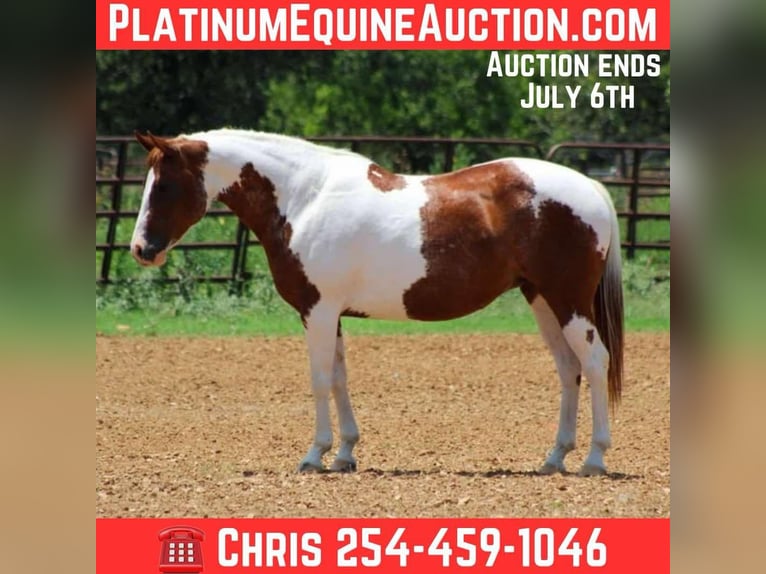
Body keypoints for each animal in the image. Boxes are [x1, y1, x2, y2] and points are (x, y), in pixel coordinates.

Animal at [130, 128, 624, 476]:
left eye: (164, 186)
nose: (140, 249)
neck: (304, 199)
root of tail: (593, 189)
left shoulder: (317, 311)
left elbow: (319, 380)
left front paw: (315, 455)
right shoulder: (332, 314)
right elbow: (339, 379)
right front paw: (345, 453)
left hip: (568, 301)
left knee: (595, 361)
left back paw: (594, 459)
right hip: (542, 299)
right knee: (568, 368)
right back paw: (555, 458)